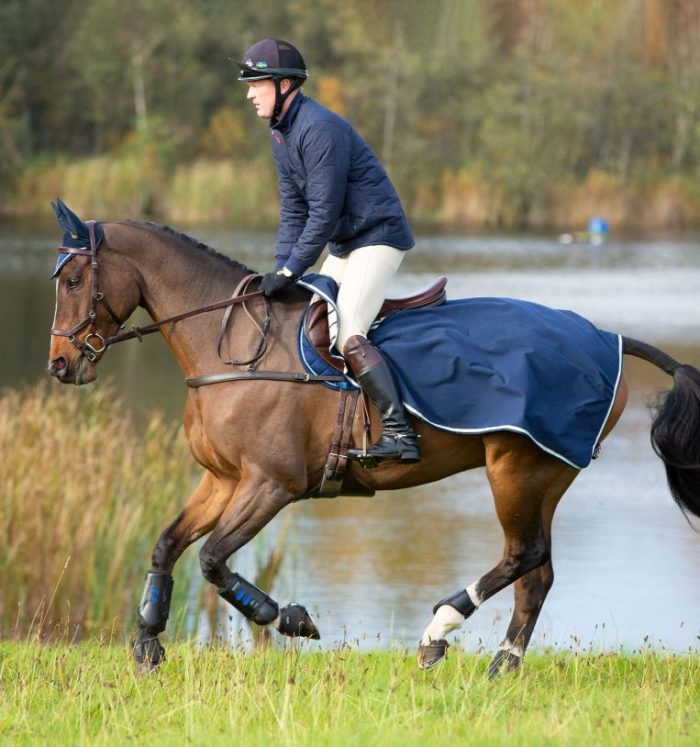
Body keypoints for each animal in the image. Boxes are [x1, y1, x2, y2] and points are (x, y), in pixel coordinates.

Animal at [46, 202, 700, 676]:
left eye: (75, 279)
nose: (59, 365)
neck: (230, 346)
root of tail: (608, 336)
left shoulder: (271, 485)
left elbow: (212, 559)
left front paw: (289, 617)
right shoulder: (223, 480)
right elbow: (166, 545)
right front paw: (148, 643)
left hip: (517, 470)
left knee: (524, 555)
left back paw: (437, 632)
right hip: (544, 478)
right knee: (536, 573)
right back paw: (503, 665)